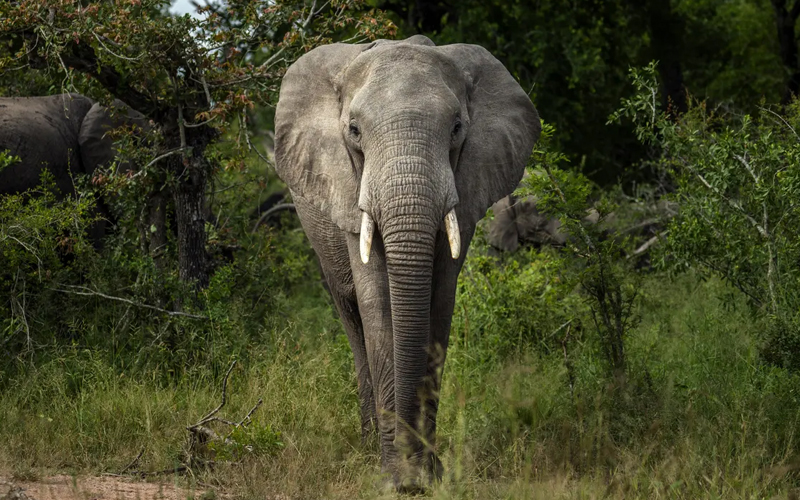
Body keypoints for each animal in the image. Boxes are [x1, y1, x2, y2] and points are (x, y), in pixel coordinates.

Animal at [272, 36, 540, 492]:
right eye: (354, 131)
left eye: (456, 128)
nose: (411, 477)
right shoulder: (348, 189)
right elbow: (377, 304)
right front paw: (394, 478)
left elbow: (439, 302)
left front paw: (427, 476)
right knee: (352, 318)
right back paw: (367, 447)